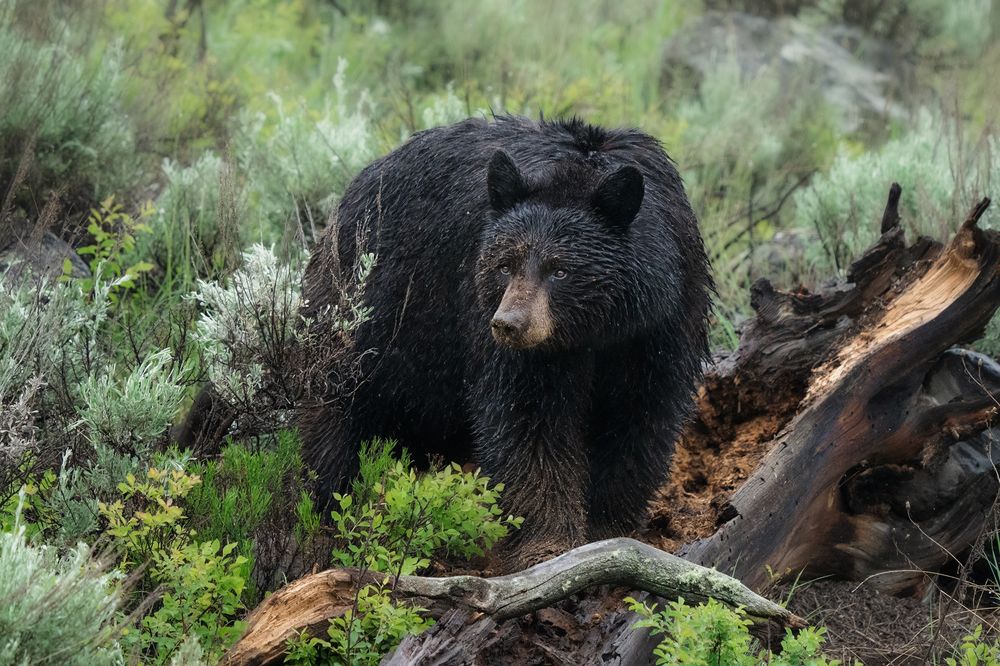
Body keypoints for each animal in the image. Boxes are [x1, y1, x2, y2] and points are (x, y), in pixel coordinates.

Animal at [300, 115, 713, 567]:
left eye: (560, 270)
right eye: (504, 264)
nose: (509, 324)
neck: (599, 329)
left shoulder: (662, 324)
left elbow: (640, 417)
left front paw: (608, 528)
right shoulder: (504, 332)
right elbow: (529, 420)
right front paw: (548, 545)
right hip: (367, 309)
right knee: (335, 413)